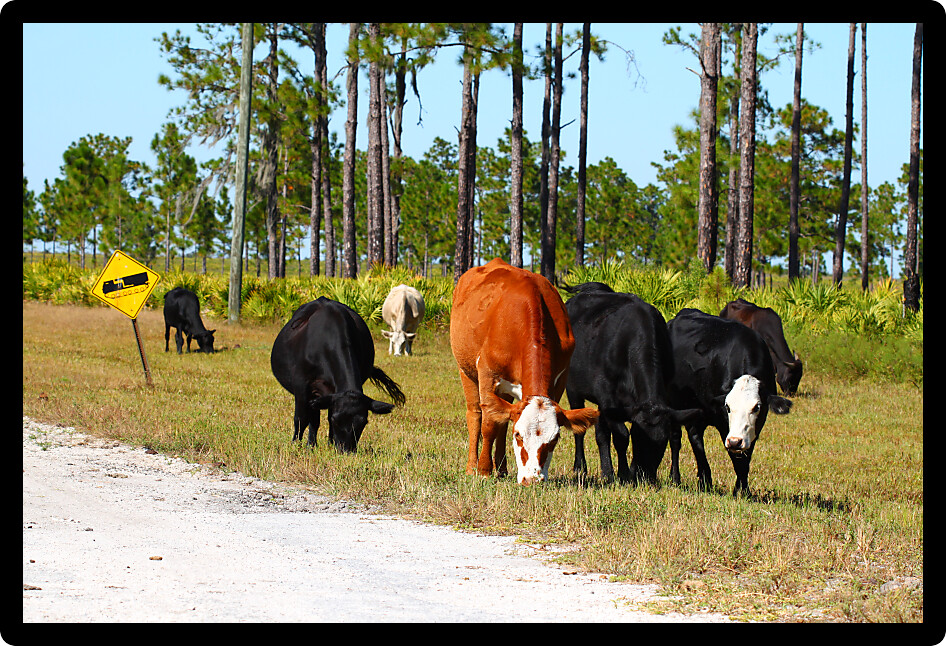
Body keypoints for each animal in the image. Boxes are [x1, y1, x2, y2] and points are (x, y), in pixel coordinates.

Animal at [270, 297, 406, 453]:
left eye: (363, 422)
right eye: (336, 420)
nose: (346, 450)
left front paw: (330, 444)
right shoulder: (301, 386)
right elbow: (301, 418)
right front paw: (295, 444)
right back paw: (311, 444)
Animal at [450, 258, 599, 485]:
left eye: (555, 439)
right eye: (518, 435)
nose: (532, 479)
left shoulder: (560, 380)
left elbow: (500, 422)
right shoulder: (487, 376)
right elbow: (488, 424)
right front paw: (483, 470)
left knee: (502, 421)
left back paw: (502, 468)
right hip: (465, 371)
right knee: (475, 415)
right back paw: (472, 466)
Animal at [564, 282, 702, 484]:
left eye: (661, 443)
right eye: (638, 438)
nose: (645, 476)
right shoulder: (607, 395)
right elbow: (621, 435)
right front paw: (623, 473)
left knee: (601, 433)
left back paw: (606, 472)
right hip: (573, 389)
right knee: (580, 429)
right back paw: (580, 467)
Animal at [667, 308, 792, 495]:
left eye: (757, 407)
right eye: (727, 406)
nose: (735, 441)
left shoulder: (753, 429)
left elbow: (745, 458)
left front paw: (743, 490)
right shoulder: (724, 424)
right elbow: (736, 458)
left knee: (695, 437)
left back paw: (704, 480)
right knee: (676, 439)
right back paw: (676, 478)